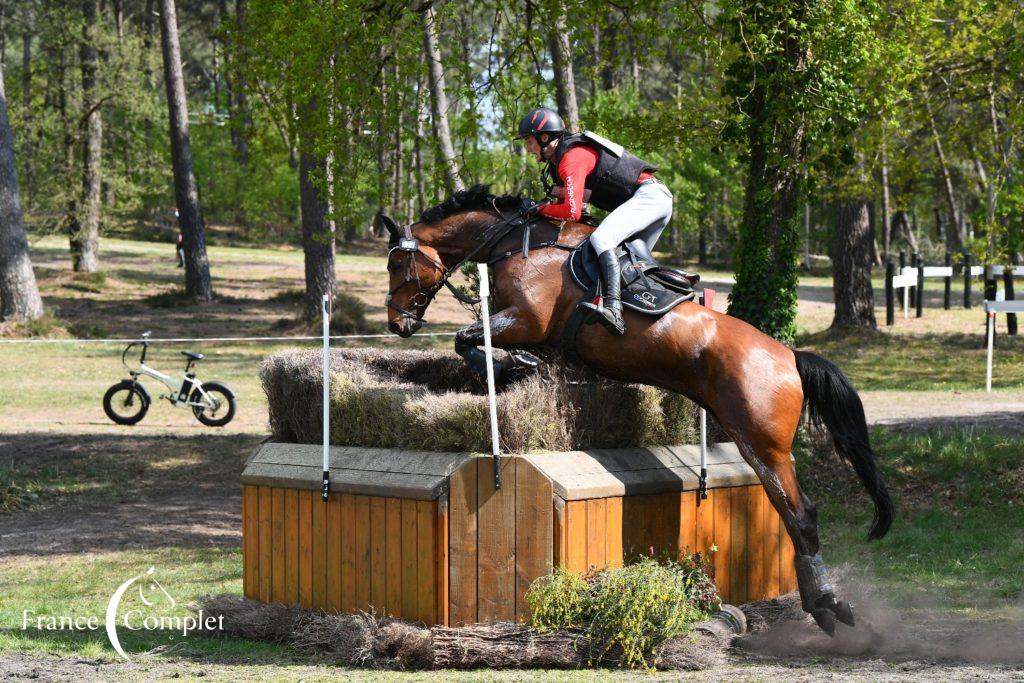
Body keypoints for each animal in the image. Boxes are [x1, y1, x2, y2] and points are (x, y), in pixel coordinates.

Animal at [380, 183, 892, 634]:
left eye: (396, 262)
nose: (397, 323)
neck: (516, 243)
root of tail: (789, 356)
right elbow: (481, 343)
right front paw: (517, 367)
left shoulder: (526, 319)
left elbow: (466, 338)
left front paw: (510, 366)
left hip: (763, 445)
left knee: (800, 514)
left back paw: (826, 606)